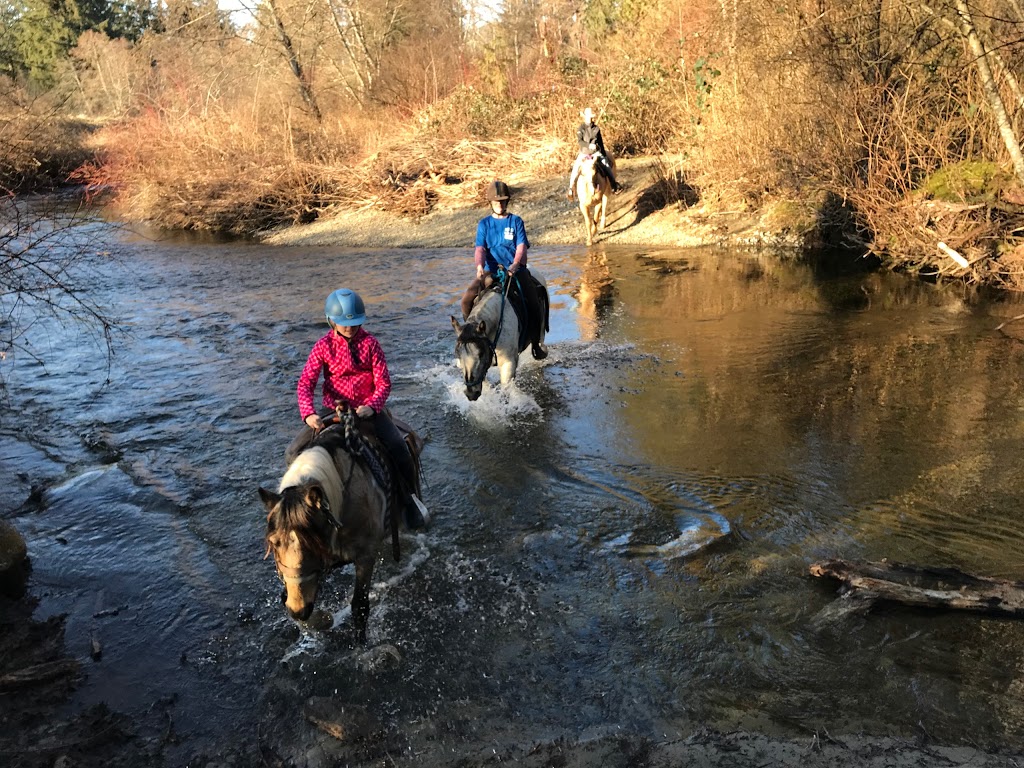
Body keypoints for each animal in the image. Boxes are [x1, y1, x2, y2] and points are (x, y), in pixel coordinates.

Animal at [264, 409, 428, 643]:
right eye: (273, 543)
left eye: (312, 543)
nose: (298, 610)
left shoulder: (365, 557)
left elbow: (360, 607)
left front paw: (361, 646)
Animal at [452, 272, 548, 403]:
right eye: (458, 355)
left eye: (481, 354)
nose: (471, 394)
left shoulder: (508, 363)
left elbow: (506, 388)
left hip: (541, 329)